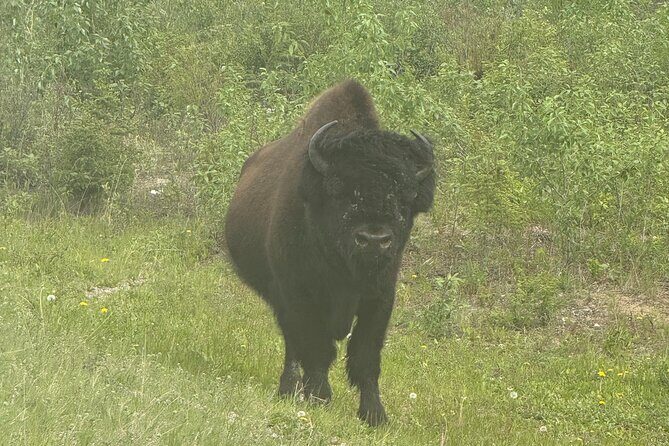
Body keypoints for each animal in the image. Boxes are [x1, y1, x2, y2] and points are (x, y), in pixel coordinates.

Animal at [225, 79, 435, 425]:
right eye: (343, 192)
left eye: (404, 198)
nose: (374, 239)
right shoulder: (300, 295)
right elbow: (316, 348)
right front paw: (319, 397)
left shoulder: (379, 297)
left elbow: (365, 356)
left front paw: (375, 415)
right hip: (280, 298)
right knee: (293, 345)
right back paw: (289, 389)